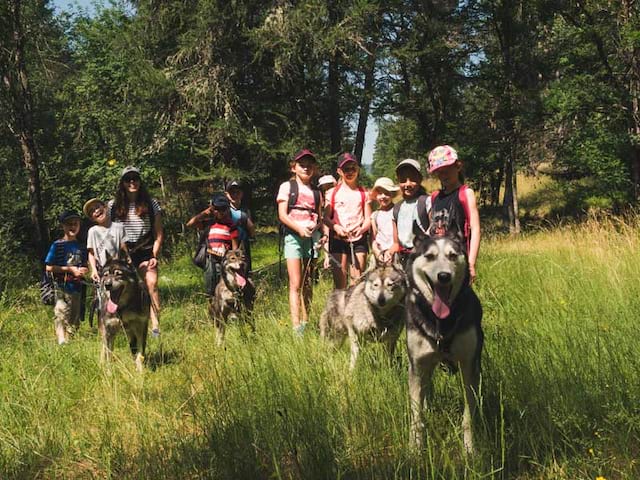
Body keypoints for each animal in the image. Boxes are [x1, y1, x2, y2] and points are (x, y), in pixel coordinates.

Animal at [408, 234, 482, 456]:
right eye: (430, 256)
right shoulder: (417, 366)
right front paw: (415, 449)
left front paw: (469, 449)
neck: (440, 322)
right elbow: (416, 414)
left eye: (452, 255)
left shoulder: (469, 365)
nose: (443, 276)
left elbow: (468, 414)